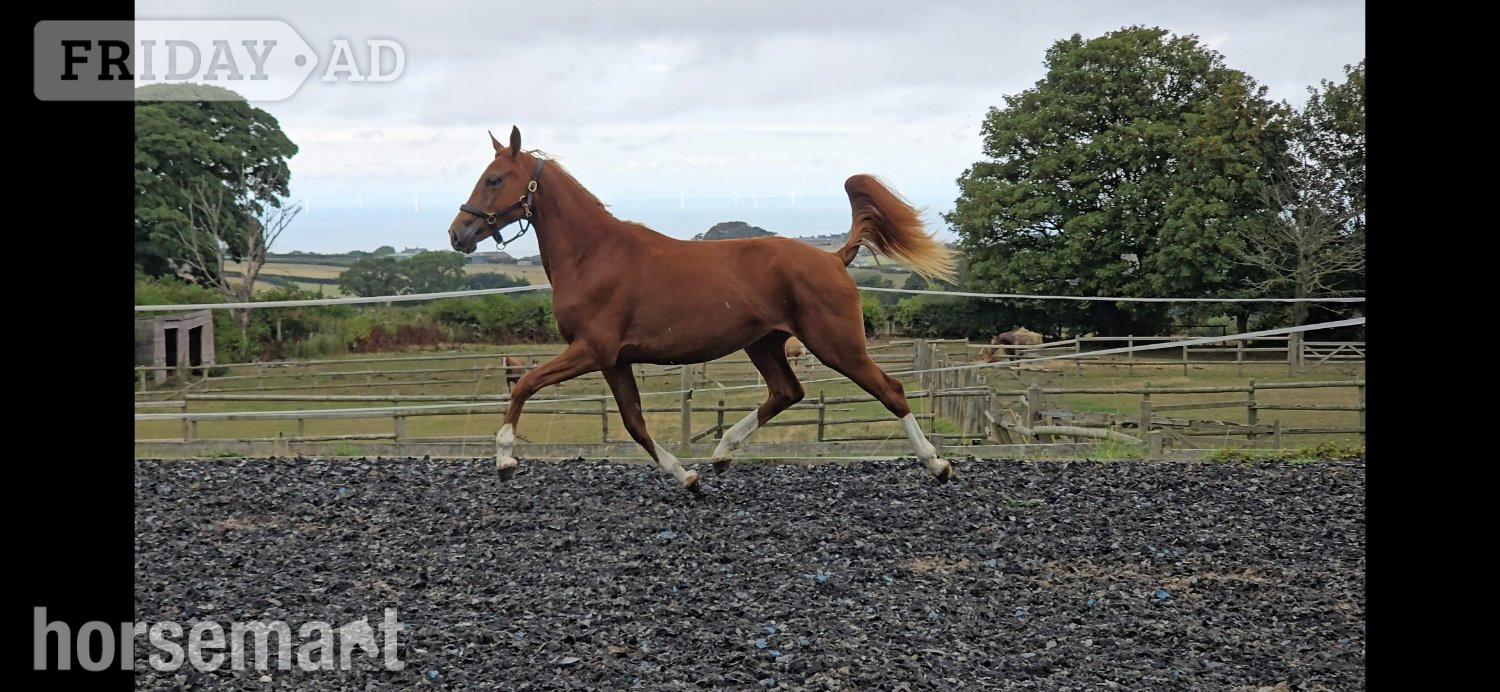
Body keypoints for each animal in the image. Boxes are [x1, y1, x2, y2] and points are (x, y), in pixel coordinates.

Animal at [448, 127, 958, 492]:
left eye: (494, 179)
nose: (457, 233)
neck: (593, 255)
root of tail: (833, 257)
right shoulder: (614, 360)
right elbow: (634, 423)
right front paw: (686, 476)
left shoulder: (591, 350)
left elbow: (525, 385)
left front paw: (505, 459)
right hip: (765, 344)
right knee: (786, 392)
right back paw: (721, 453)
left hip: (836, 344)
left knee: (891, 390)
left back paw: (937, 465)